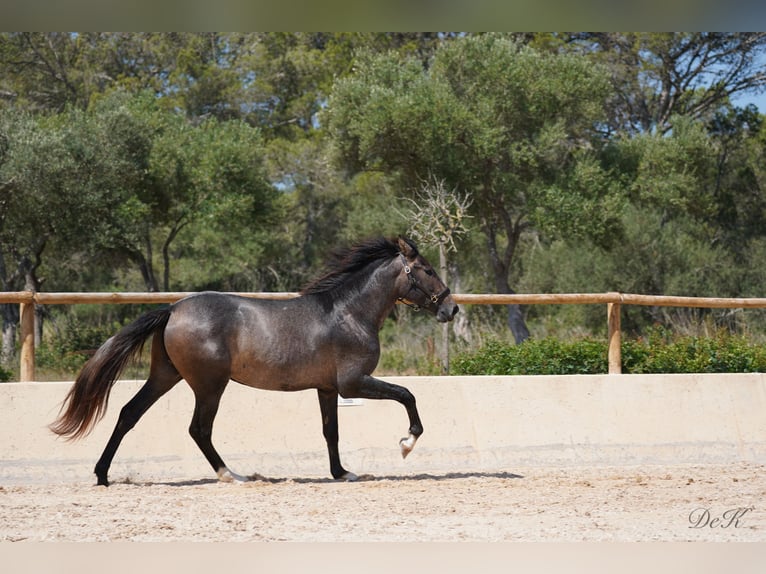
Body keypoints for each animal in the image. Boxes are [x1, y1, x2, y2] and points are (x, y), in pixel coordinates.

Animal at [51, 237, 460, 486]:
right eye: (426, 269)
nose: (451, 309)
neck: (349, 313)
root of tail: (173, 309)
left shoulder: (328, 388)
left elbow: (331, 431)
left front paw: (341, 472)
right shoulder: (354, 382)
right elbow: (407, 395)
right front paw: (406, 443)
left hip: (165, 376)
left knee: (128, 414)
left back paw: (102, 475)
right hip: (209, 385)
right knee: (198, 429)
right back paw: (231, 474)